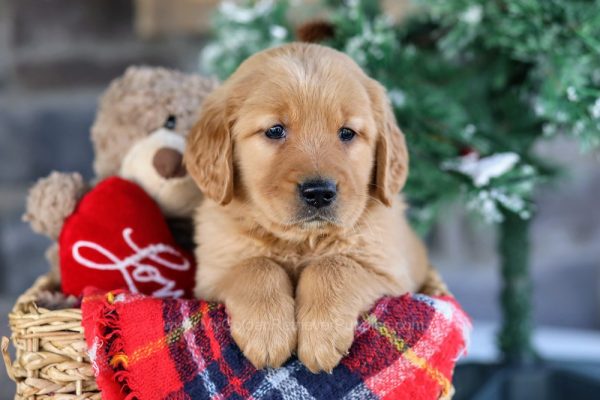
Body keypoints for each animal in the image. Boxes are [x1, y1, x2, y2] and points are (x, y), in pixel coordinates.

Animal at [185, 43, 428, 372]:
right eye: (275, 130)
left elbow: (334, 264)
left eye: (347, 133)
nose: (319, 193)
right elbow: (255, 265)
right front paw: (266, 331)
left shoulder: (392, 276)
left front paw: (321, 336)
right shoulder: (212, 275)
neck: (301, 242)